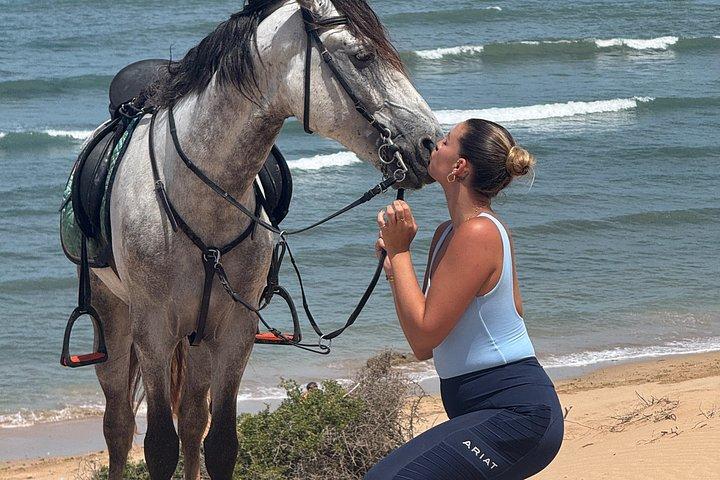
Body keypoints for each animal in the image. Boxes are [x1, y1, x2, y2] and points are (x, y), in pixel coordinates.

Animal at [86, 0, 442, 478]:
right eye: (362, 56)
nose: (431, 144)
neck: (198, 193)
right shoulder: (154, 333)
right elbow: (159, 446)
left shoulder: (236, 331)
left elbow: (220, 443)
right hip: (114, 319)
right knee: (119, 425)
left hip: (199, 336)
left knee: (192, 419)